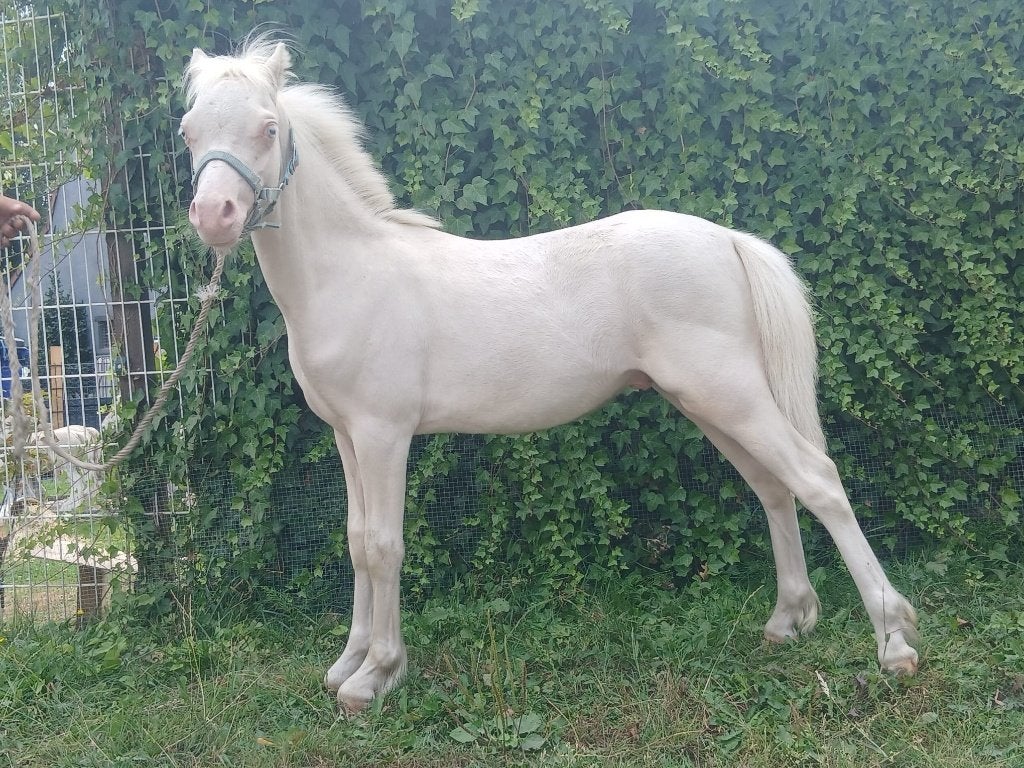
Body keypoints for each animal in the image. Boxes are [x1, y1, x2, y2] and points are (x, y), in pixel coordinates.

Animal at [182, 38, 919, 712]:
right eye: (188, 131)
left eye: (267, 128)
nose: (213, 216)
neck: (351, 274)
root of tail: (730, 241)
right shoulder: (347, 435)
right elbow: (357, 541)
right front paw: (348, 664)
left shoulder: (384, 433)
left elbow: (385, 546)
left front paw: (377, 676)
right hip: (711, 404)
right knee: (773, 488)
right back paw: (789, 620)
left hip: (729, 397)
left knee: (819, 481)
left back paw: (894, 642)